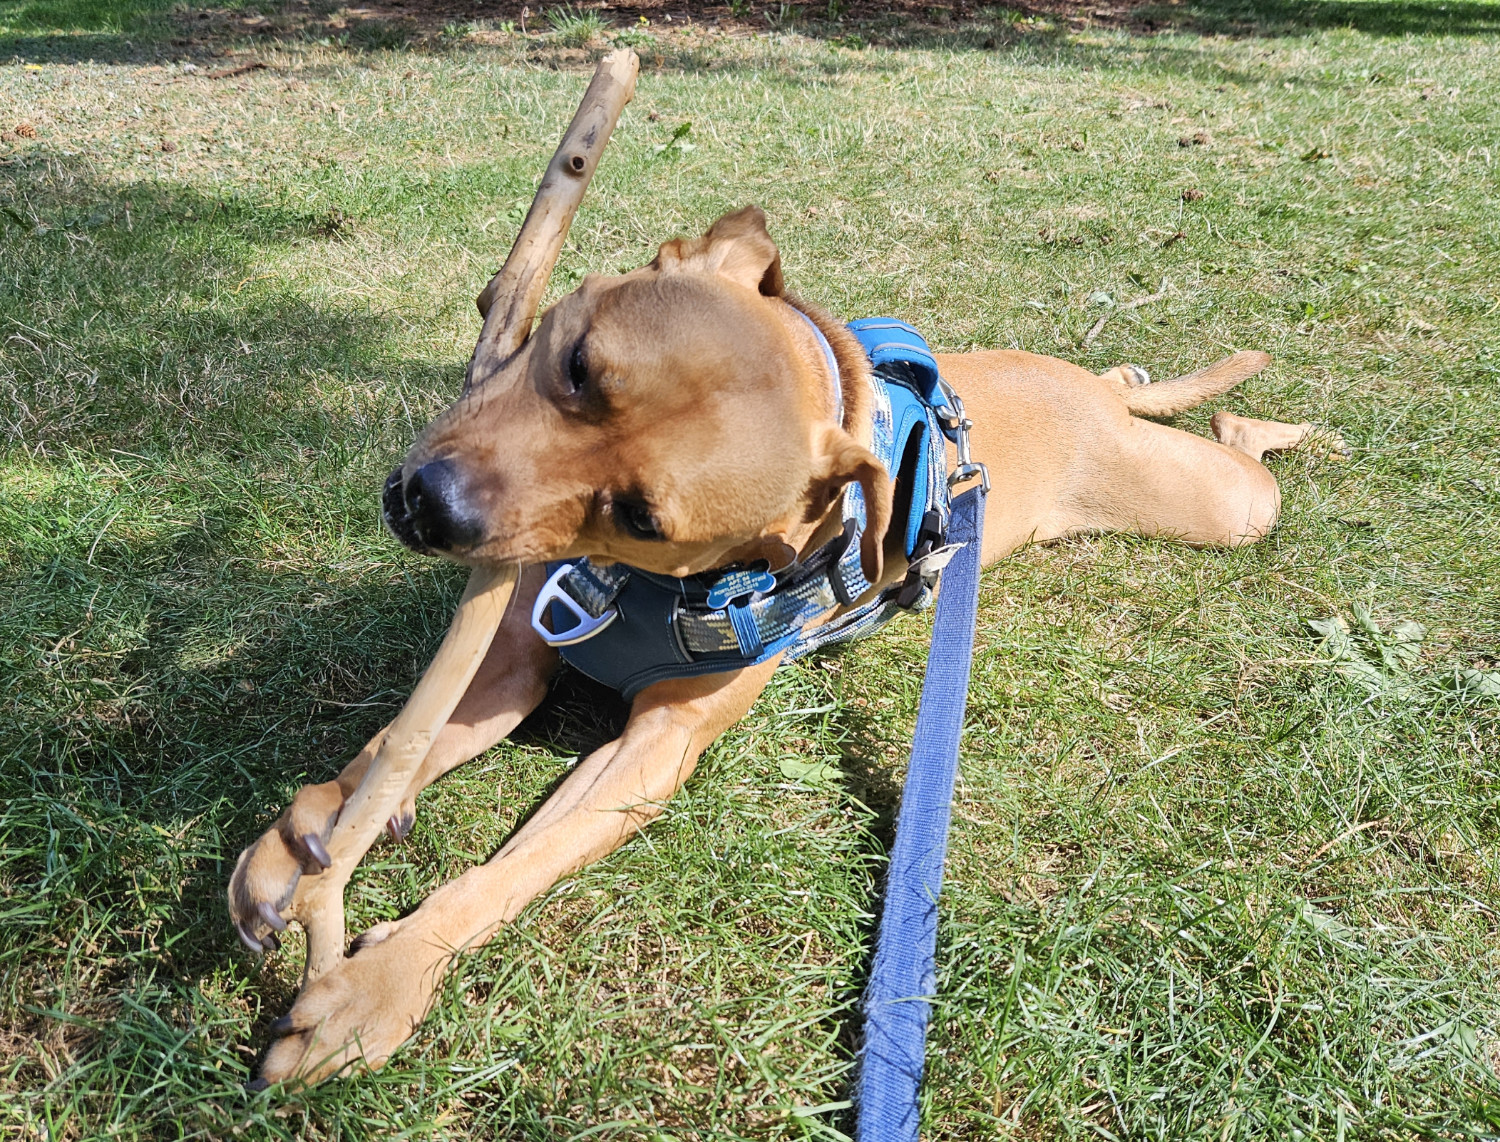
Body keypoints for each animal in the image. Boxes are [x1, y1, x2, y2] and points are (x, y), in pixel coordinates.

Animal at [231, 205, 1338, 1086]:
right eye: (578, 363)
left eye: (641, 514)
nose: (435, 505)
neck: (645, 588)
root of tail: (1091, 401)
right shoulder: (509, 662)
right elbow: (395, 745)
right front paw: (308, 838)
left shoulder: (648, 757)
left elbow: (510, 870)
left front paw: (379, 981)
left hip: (1222, 505)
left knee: (1244, 449)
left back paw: (1279, 424)